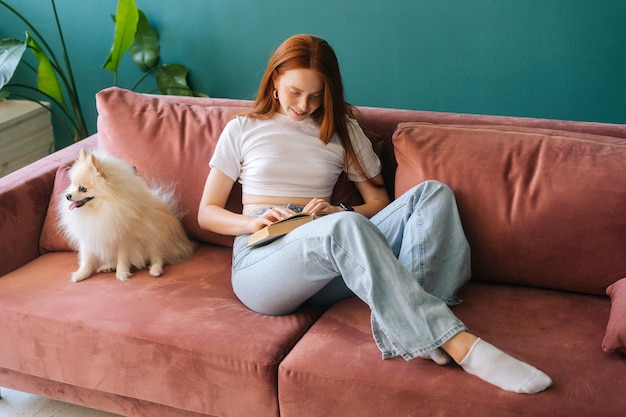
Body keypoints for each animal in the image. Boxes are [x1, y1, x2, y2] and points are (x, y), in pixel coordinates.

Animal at [60, 148, 195, 282]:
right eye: (72, 184)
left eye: (82, 188)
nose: (67, 196)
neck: (100, 208)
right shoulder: (88, 238)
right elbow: (86, 260)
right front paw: (81, 274)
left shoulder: (124, 239)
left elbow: (123, 259)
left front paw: (122, 273)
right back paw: (108, 266)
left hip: (155, 237)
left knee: (159, 257)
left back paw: (155, 270)